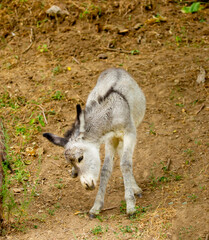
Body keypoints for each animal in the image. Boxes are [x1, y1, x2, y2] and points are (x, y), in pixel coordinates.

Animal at [43, 68, 146, 218]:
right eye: (70, 162)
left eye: (80, 158)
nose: (86, 186)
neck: (111, 113)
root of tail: (114, 68)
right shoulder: (110, 138)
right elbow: (105, 169)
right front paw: (96, 206)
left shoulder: (129, 134)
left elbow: (125, 164)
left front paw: (131, 205)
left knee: (125, 159)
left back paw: (135, 188)